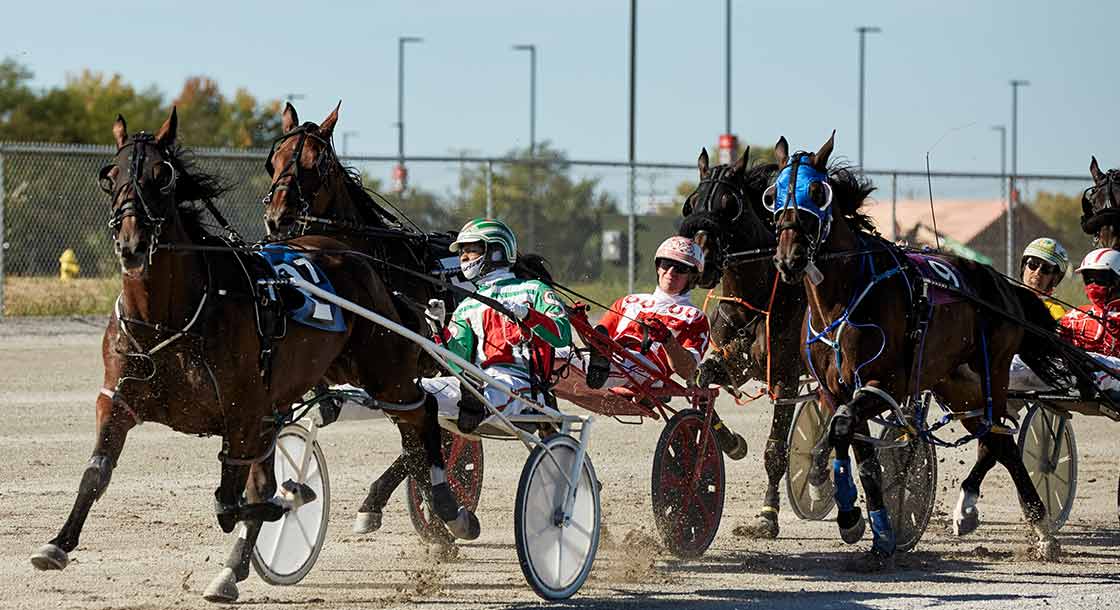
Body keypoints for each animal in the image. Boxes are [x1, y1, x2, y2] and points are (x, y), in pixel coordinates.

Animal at [29, 108, 477, 599]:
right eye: (110, 177)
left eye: (162, 176)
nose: (132, 243)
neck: (171, 317)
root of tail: (359, 261)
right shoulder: (120, 400)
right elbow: (98, 473)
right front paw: (57, 544)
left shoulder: (245, 412)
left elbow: (234, 500)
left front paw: (290, 500)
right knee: (413, 426)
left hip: (386, 373)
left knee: (425, 415)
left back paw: (448, 508)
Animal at [672, 147, 806, 537]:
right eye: (692, 203)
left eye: (729, 205)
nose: (699, 264)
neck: (757, 301)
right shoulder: (731, 362)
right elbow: (701, 386)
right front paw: (731, 443)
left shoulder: (786, 378)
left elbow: (776, 451)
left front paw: (767, 516)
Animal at [770, 130, 1093, 568]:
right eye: (773, 193)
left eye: (817, 192)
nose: (789, 259)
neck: (844, 297)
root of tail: (1002, 285)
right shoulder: (834, 390)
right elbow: (857, 452)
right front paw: (876, 530)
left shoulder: (880, 384)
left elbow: (841, 430)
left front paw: (850, 514)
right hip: (956, 384)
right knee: (1001, 441)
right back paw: (1029, 525)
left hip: (994, 369)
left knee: (996, 435)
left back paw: (988, 514)